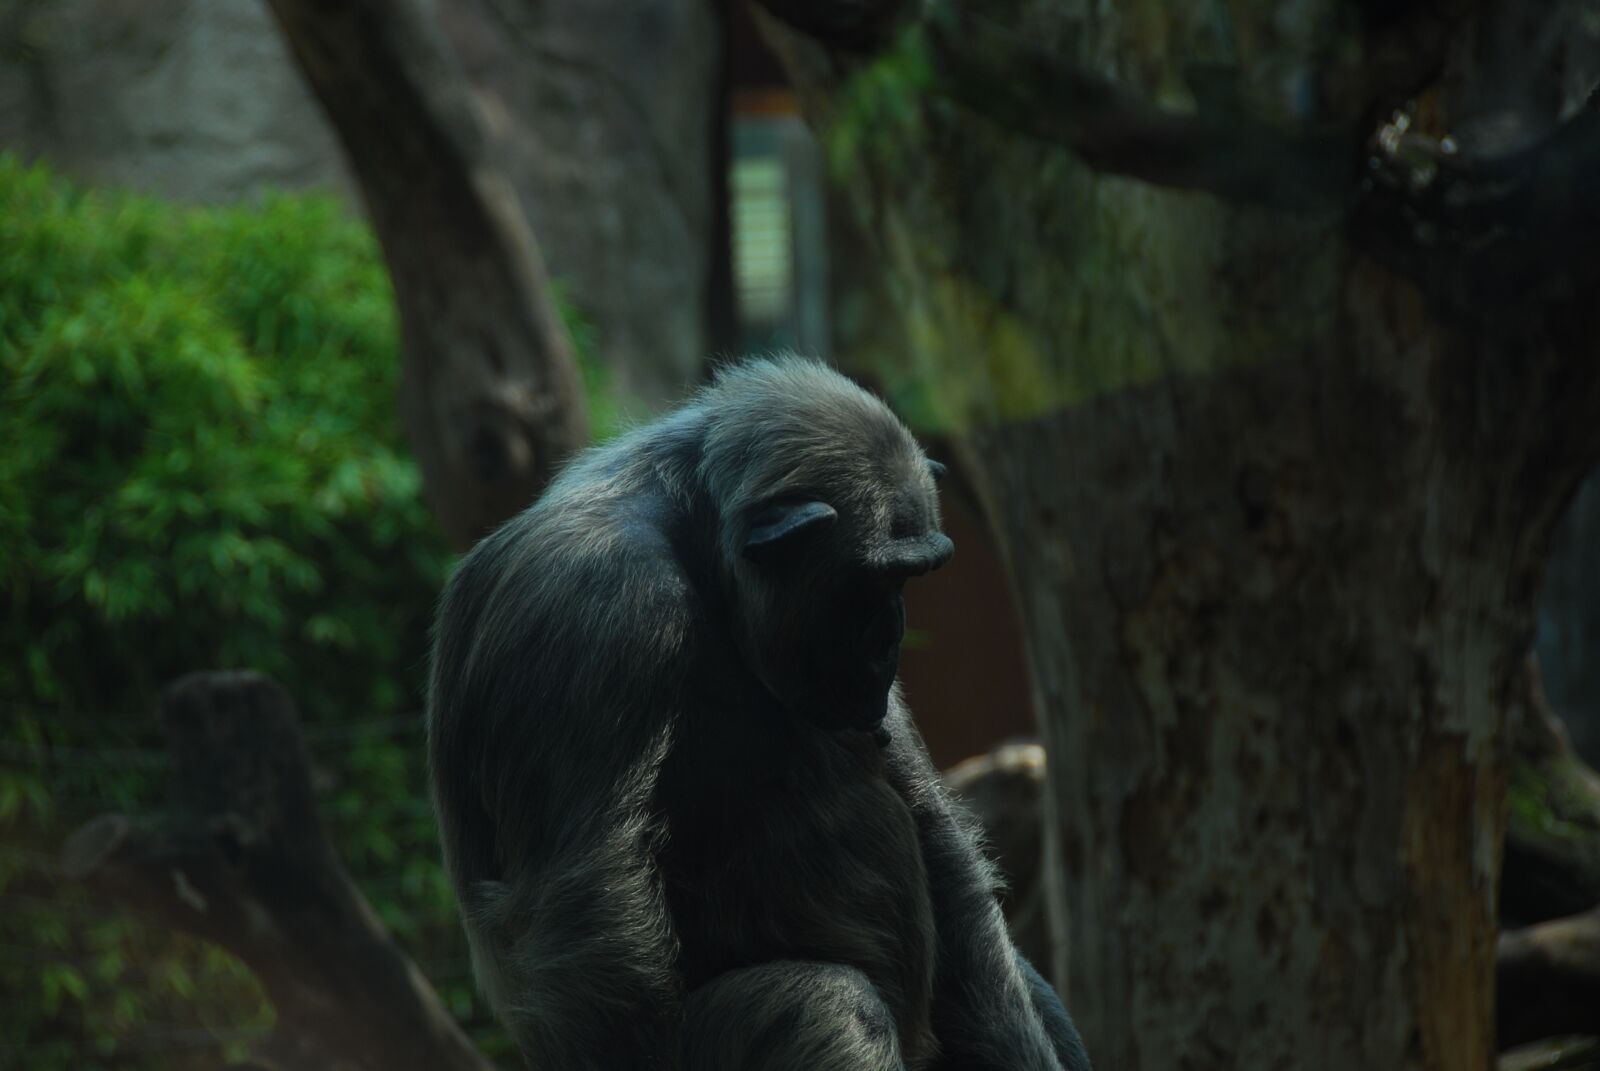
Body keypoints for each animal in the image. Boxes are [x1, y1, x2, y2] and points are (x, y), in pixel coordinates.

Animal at [427, 356, 1091, 1070]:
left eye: (915, 578)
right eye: (878, 579)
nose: (892, 635)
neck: (699, 545)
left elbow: (937, 835)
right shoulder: (594, 605)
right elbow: (590, 903)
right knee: (830, 1008)